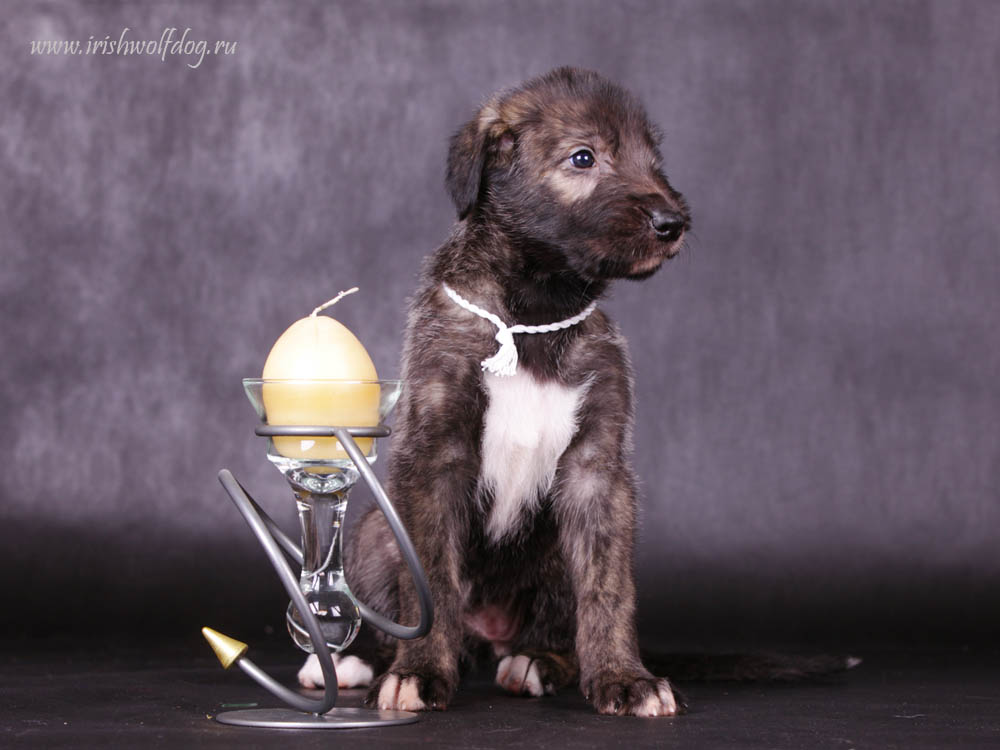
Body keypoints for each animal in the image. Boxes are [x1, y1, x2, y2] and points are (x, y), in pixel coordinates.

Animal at [298, 69, 688, 716]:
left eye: (654, 159)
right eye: (583, 157)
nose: (672, 223)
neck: (534, 312)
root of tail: (486, 635)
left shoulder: (598, 472)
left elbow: (608, 586)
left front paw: (624, 678)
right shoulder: (436, 455)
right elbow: (430, 578)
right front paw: (419, 673)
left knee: (556, 627)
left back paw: (538, 662)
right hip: (377, 532)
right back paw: (364, 662)